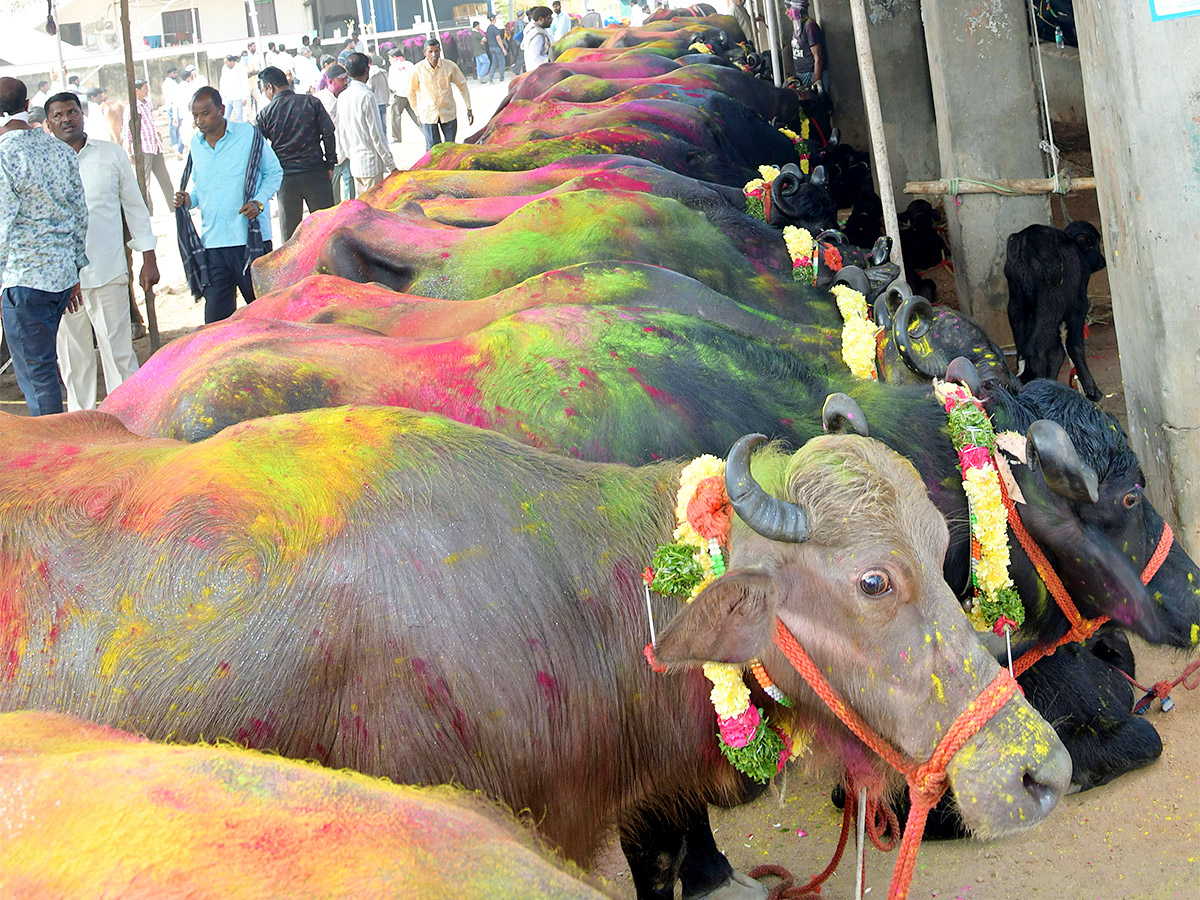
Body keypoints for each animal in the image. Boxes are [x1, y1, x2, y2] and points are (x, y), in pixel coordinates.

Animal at [1003, 220, 1104, 400]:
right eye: (1094, 243)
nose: (1102, 261)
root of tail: (1025, 241)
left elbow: (1057, 351)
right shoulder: (1078, 306)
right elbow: (1074, 346)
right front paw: (1091, 390)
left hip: (1016, 301)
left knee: (1022, 347)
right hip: (1050, 304)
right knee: (1036, 349)